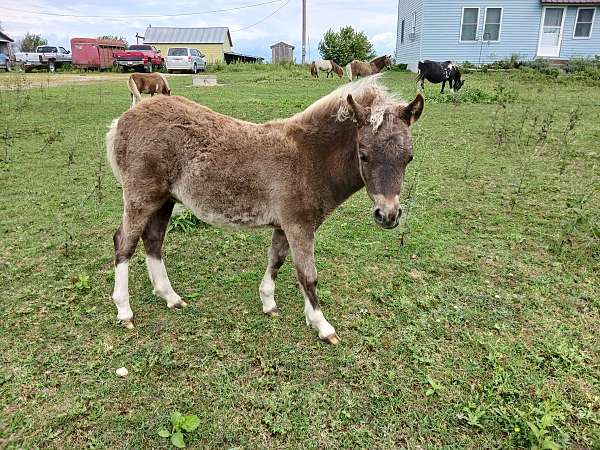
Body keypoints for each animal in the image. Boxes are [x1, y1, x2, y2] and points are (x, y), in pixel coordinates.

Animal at [105, 75, 424, 342]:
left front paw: (269, 302)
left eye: (409, 157)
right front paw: (322, 326)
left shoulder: (285, 224)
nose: (388, 215)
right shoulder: (299, 225)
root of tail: (122, 120)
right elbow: (308, 275)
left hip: (165, 200)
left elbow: (277, 260)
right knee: (125, 243)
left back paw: (170, 297)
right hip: (141, 197)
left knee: (153, 240)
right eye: (364, 154)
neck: (309, 158)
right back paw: (124, 310)